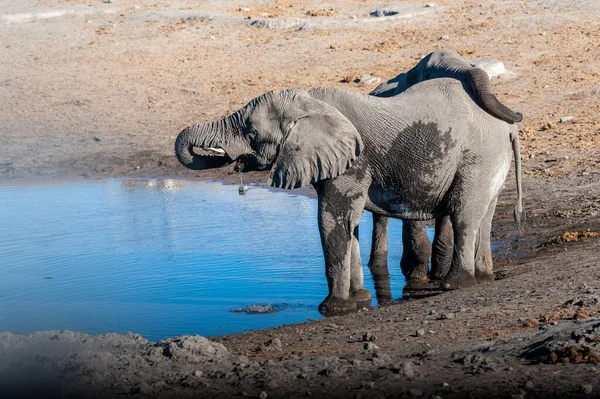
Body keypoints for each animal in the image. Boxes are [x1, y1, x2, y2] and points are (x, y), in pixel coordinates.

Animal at [175, 78, 524, 318]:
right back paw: (483, 276)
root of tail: (508, 126)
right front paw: (360, 301)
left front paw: (332, 309)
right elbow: (349, 225)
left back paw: (456, 284)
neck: (311, 102)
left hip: (477, 157)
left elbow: (332, 218)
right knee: (485, 215)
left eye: (250, 132)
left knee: (464, 213)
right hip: (490, 159)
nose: (227, 157)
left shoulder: (353, 162)